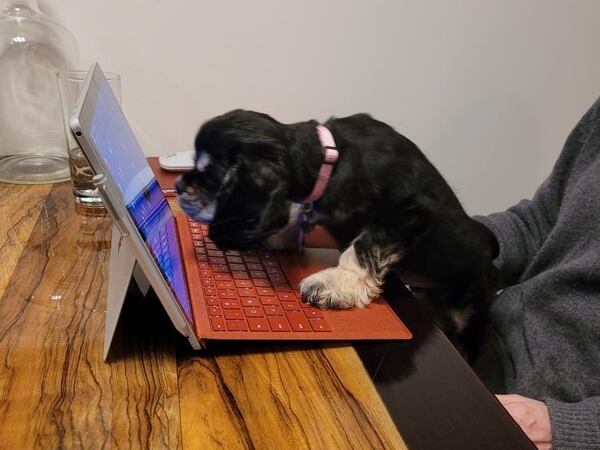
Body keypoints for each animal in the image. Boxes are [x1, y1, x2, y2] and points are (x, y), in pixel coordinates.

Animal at [176, 110, 500, 358]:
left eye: (209, 177)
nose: (178, 186)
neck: (331, 160)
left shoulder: (406, 213)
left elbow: (363, 248)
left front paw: (333, 284)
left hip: (469, 309)